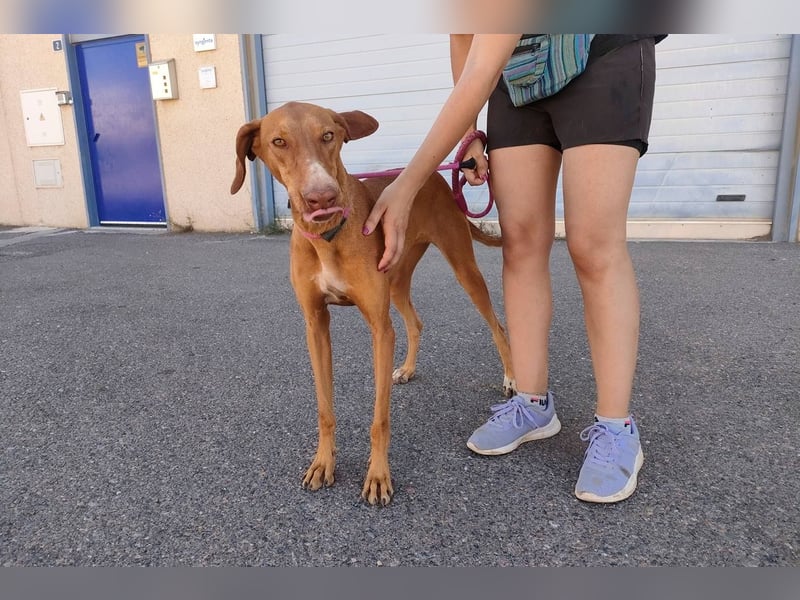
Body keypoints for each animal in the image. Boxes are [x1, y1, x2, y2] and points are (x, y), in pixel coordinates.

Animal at [230, 101, 512, 504]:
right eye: (278, 141)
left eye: (328, 135)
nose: (322, 197)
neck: (328, 236)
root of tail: (437, 177)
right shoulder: (315, 325)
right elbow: (324, 409)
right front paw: (323, 462)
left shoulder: (380, 328)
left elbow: (379, 418)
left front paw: (378, 475)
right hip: (397, 280)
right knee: (415, 322)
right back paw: (407, 369)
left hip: (463, 267)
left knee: (497, 325)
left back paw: (511, 378)